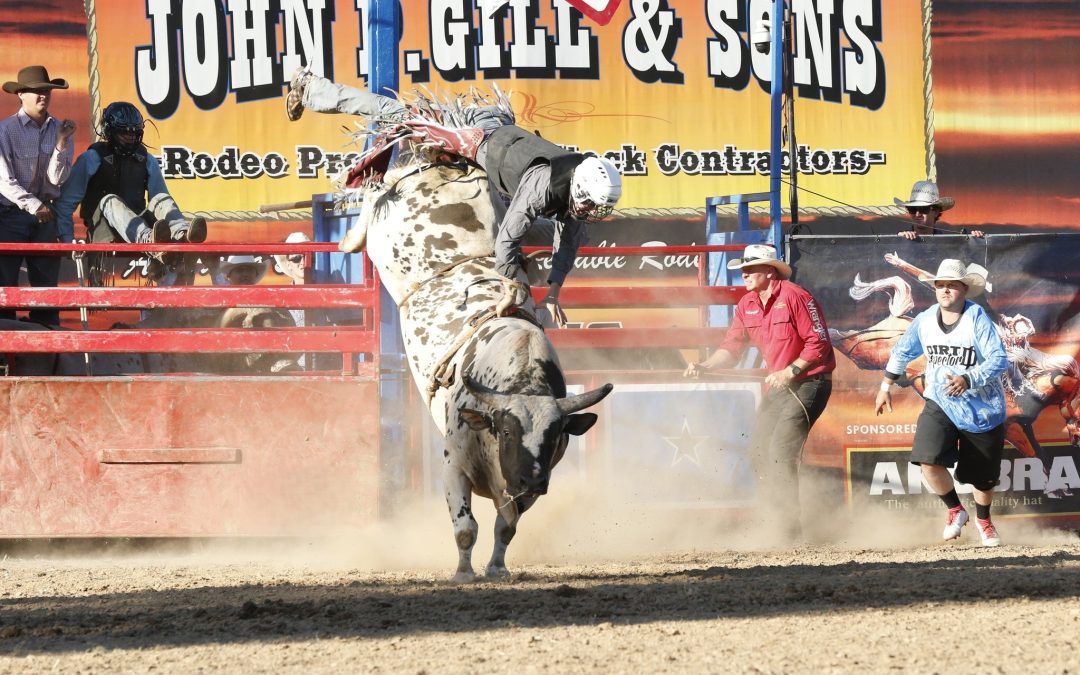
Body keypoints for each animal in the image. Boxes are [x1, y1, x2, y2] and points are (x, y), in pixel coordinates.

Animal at [339, 157, 612, 582]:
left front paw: (497, 567)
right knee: (376, 193)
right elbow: (466, 527)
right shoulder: (454, 466)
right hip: (388, 225)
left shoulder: (525, 485)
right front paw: (464, 572)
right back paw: (350, 236)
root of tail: (448, 163)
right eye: (506, 430)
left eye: (555, 435)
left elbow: (506, 526)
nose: (532, 479)